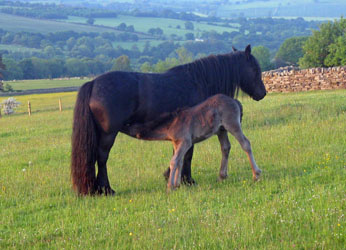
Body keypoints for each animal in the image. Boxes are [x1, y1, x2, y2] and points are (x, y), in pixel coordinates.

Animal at [128, 94, 260, 191]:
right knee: (225, 147)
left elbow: (174, 161)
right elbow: (179, 161)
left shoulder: (185, 142)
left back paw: (256, 175)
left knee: (246, 144)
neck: (172, 123)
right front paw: (177, 184)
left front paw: (170, 187)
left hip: (232, 125)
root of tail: (235, 101)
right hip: (221, 130)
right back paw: (221, 177)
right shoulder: (177, 143)